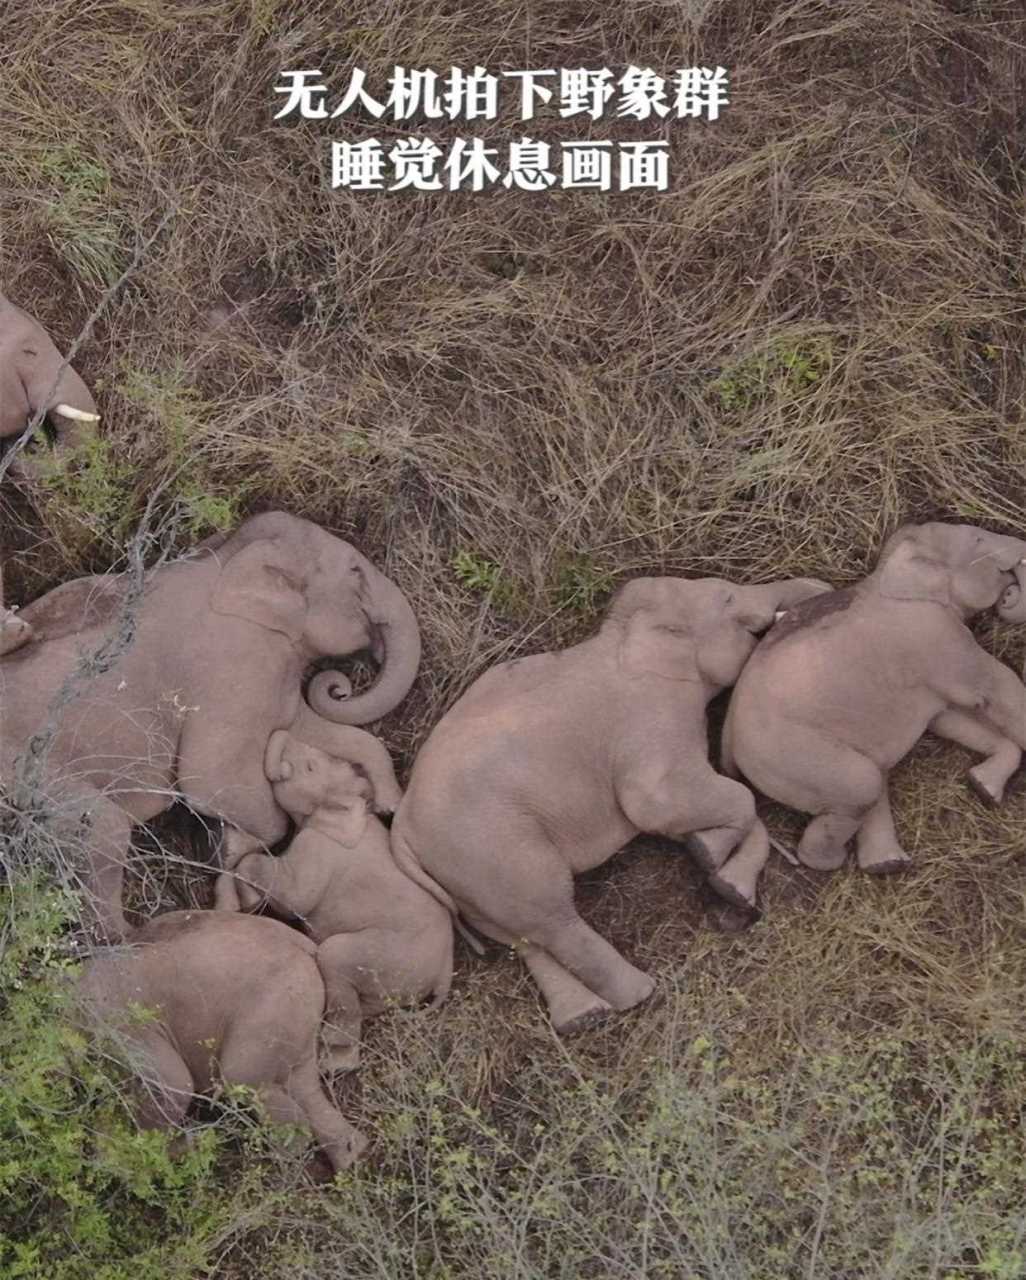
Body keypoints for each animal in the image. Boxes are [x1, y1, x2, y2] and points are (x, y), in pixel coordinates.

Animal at [0, 510, 421, 940]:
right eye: (355, 571)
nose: (340, 686)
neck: (229, 557)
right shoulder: (235, 661)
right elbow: (210, 779)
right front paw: (234, 864)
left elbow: (304, 726)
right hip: (24, 770)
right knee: (104, 829)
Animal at [75, 910, 367, 1174]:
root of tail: (309, 949)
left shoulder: (116, 1020)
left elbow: (174, 1084)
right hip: (300, 1012)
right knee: (303, 1085)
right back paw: (350, 1156)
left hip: (275, 1004)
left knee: (243, 1077)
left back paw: (277, 1159)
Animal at [222, 728, 454, 1072]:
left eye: (309, 767)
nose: (281, 736)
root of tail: (445, 970)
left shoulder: (318, 847)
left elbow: (296, 898)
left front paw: (248, 896)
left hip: (391, 955)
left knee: (335, 957)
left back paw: (333, 1061)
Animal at [390, 573, 831, 1034]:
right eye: (727, 597)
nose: (823, 589)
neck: (621, 636)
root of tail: (402, 828)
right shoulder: (651, 721)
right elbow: (661, 803)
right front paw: (711, 855)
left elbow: (691, 816)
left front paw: (720, 872)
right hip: (493, 848)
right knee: (552, 914)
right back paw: (639, 995)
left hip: (464, 876)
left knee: (520, 934)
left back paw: (583, 1017)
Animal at [723, 522, 1026, 877]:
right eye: (978, 539)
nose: (1010, 591)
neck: (887, 571)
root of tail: (727, 738)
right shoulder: (935, 636)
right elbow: (995, 688)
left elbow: (950, 719)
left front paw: (983, 787)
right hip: (793, 755)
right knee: (863, 785)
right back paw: (837, 862)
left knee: (874, 779)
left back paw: (887, 864)